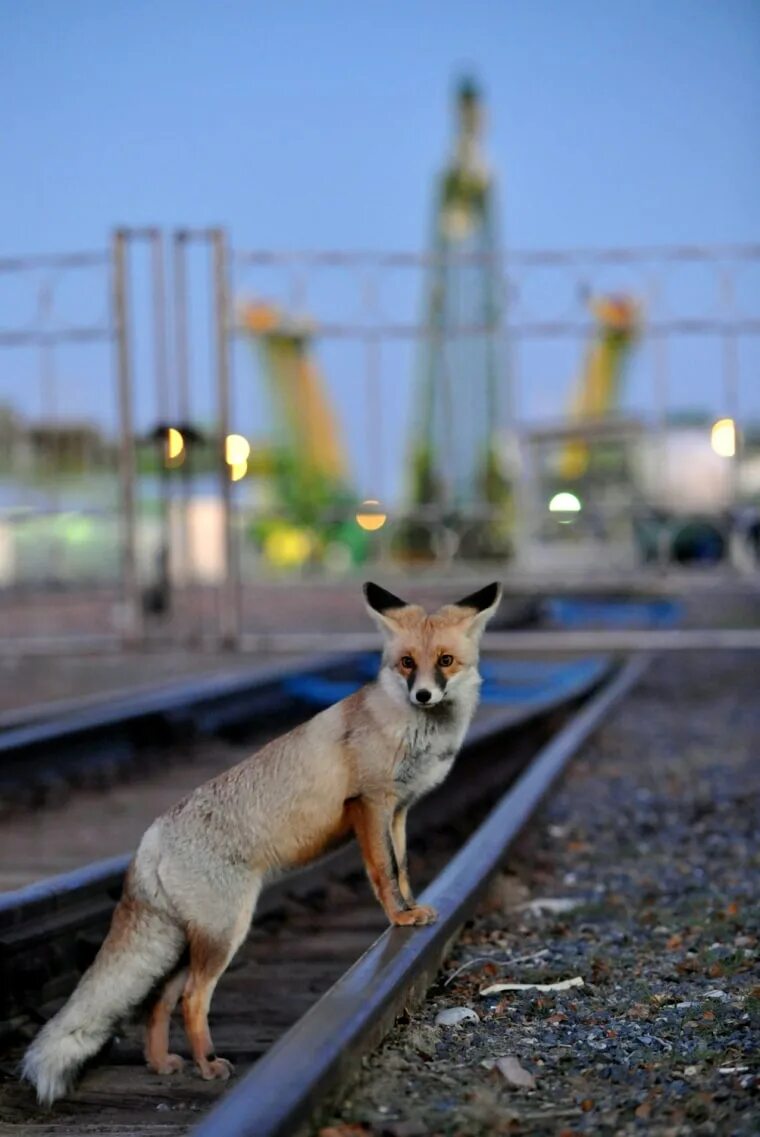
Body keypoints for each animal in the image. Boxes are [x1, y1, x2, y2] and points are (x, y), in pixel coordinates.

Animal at [22, 577, 498, 1100]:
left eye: (446, 661)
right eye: (408, 663)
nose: (424, 695)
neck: (412, 728)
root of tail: (149, 839)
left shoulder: (398, 811)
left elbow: (404, 868)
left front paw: (415, 907)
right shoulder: (370, 803)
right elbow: (383, 871)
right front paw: (399, 917)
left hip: (194, 941)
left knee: (160, 999)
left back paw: (161, 1063)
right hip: (226, 932)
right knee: (191, 999)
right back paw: (207, 1065)